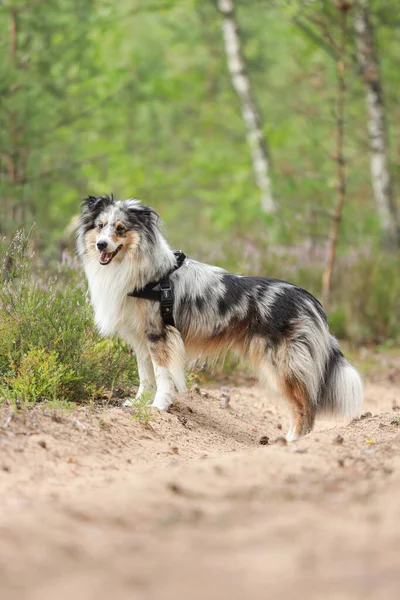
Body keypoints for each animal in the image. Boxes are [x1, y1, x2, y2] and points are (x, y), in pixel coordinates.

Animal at [76, 195, 364, 438]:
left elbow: (162, 377)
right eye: (100, 226)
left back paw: (293, 441)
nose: (101, 244)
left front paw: (158, 407)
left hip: (283, 364)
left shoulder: (160, 335)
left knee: (305, 405)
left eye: (120, 229)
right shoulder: (141, 339)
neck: (145, 275)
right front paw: (137, 403)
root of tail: (309, 299)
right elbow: (145, 376)